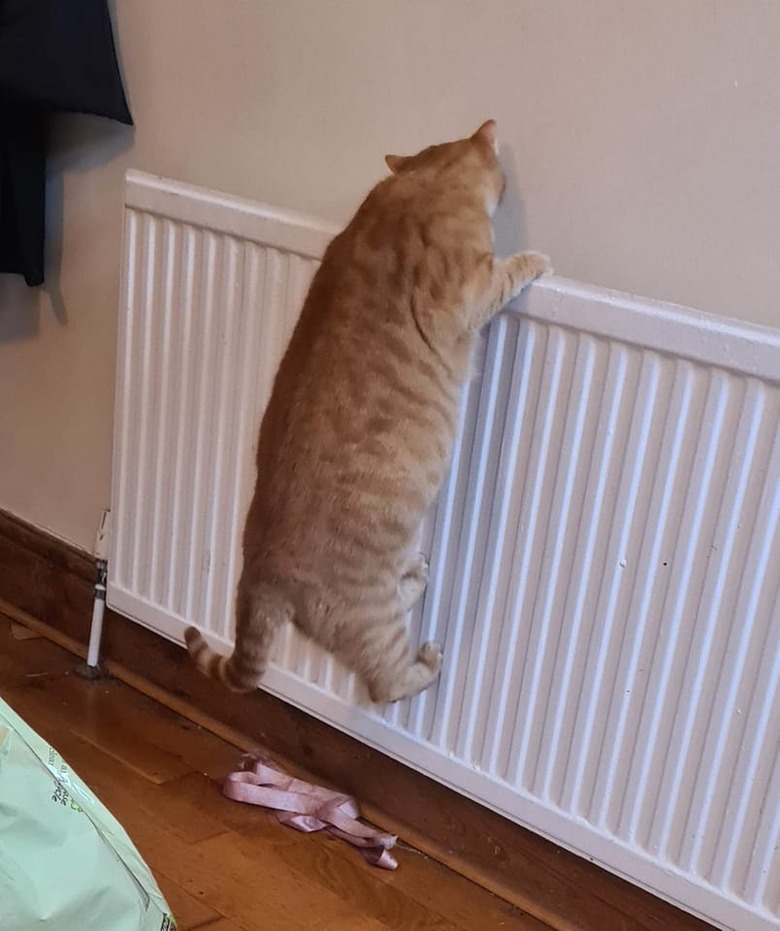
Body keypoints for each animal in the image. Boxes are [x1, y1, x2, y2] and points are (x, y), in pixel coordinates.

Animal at [184, 125, 552, 708]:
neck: (424, 180)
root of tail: (257, 574)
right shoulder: (464, 293)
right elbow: (506, 273)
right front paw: (536, 258)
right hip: (372, 622)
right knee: (388, 682)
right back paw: (427, 655)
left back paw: (416, 574)